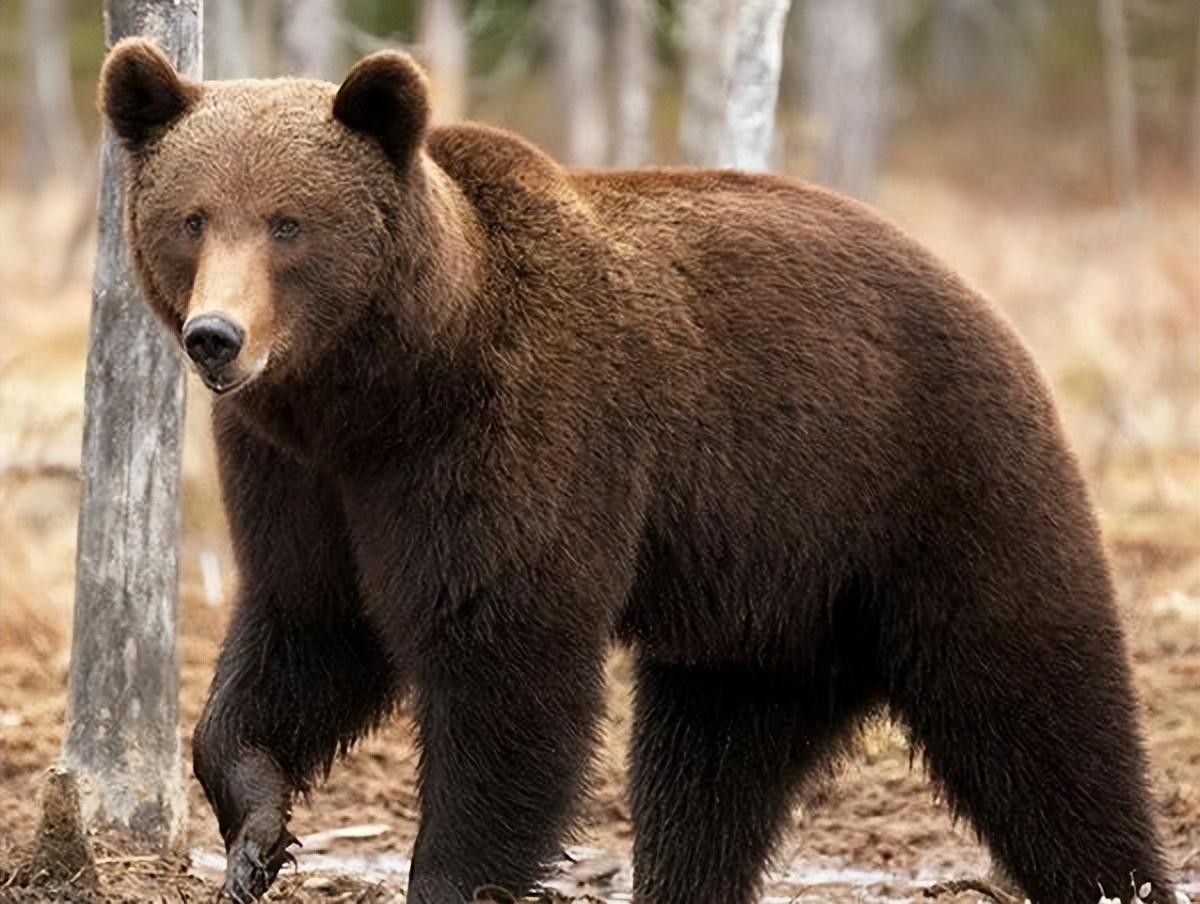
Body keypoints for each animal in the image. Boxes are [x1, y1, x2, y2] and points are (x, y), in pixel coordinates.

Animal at [100, 37, 1171, 902]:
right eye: (193, 218)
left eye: (288, 223)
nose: (217, 337)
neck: (387, 384)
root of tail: (989, 307)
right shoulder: (299, 470)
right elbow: (309, 622)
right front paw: (256, 830)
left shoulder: (518, 436)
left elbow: (503, 659)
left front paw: (449, 871)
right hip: (762, 610)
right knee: (708, 770)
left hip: (941, 488)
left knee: (1043, 718)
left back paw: (1119, 870)